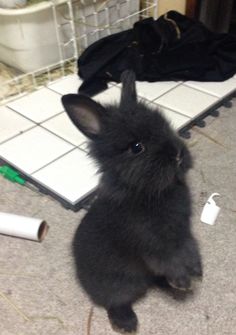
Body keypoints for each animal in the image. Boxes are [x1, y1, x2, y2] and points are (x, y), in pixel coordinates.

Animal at [61, 71, 202, 334]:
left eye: (165, 126)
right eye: (137, 147)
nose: (178, 155)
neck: (146, 190)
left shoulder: (183, 232)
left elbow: (189, 248)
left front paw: (197, 271)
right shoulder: (153, 243)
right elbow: (170, 259)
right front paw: (183, 281)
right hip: (119, 282)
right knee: (115, 301)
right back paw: (127, 323)